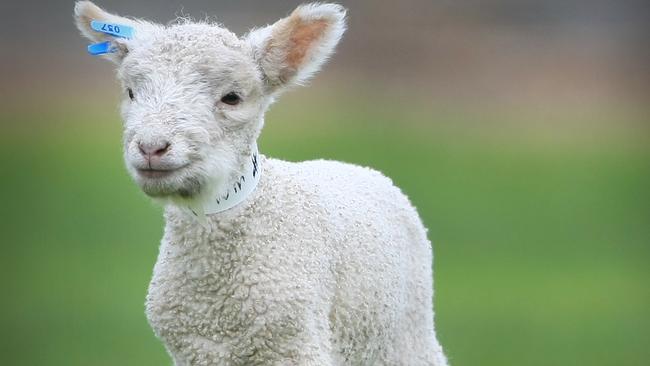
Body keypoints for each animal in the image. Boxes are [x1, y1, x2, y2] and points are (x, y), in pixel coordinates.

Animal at [71, 1, 446, 364]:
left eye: (232, 97)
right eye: (131, 93)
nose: (151, 147)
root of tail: (359, 168)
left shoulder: (296, 344)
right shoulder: (194, 349)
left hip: (409, 335)